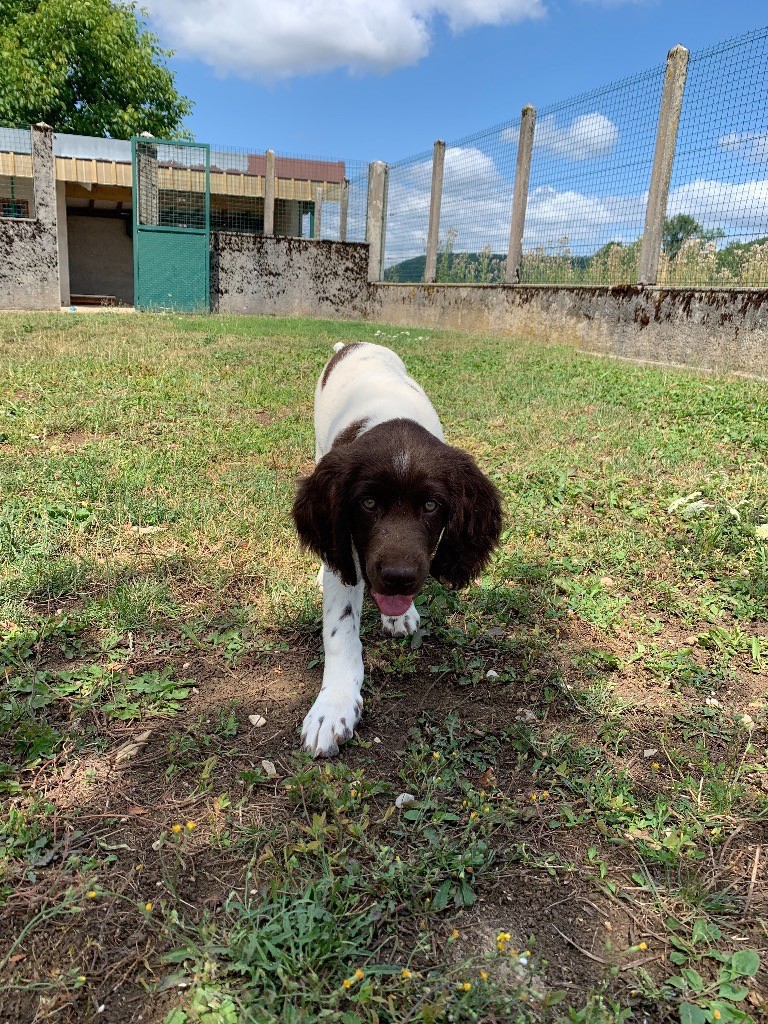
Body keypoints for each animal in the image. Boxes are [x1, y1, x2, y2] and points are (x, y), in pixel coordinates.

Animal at [292, 342, 502, 757]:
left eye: (431, 505)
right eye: (368, 503)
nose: (398, 578)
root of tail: (354, 344)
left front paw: (401, 614)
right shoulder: (350, 548)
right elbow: (340, 629)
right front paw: (334, 704)